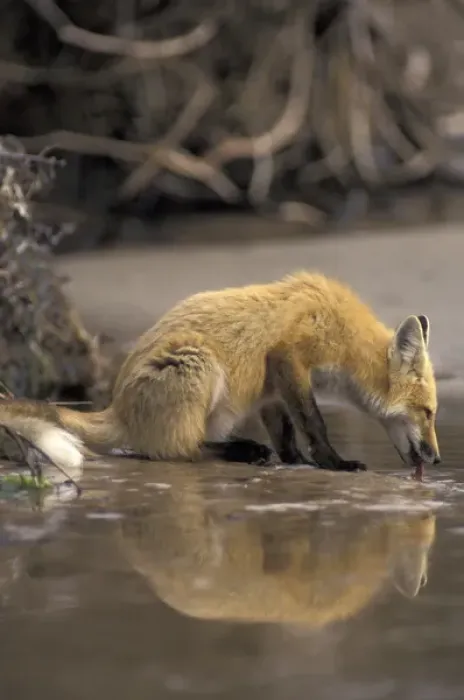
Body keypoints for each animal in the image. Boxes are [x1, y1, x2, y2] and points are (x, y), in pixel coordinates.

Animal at [0, 271, 440, 473]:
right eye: (429, 413)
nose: (436, 460)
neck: (343, 330)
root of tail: (116, 406)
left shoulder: (272, 385)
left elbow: (286, 431)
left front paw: (296, 460)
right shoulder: (289, 357)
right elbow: (314, 423)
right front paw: (334, 462)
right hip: (200, 365)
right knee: (176, 450)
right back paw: (241, 451)